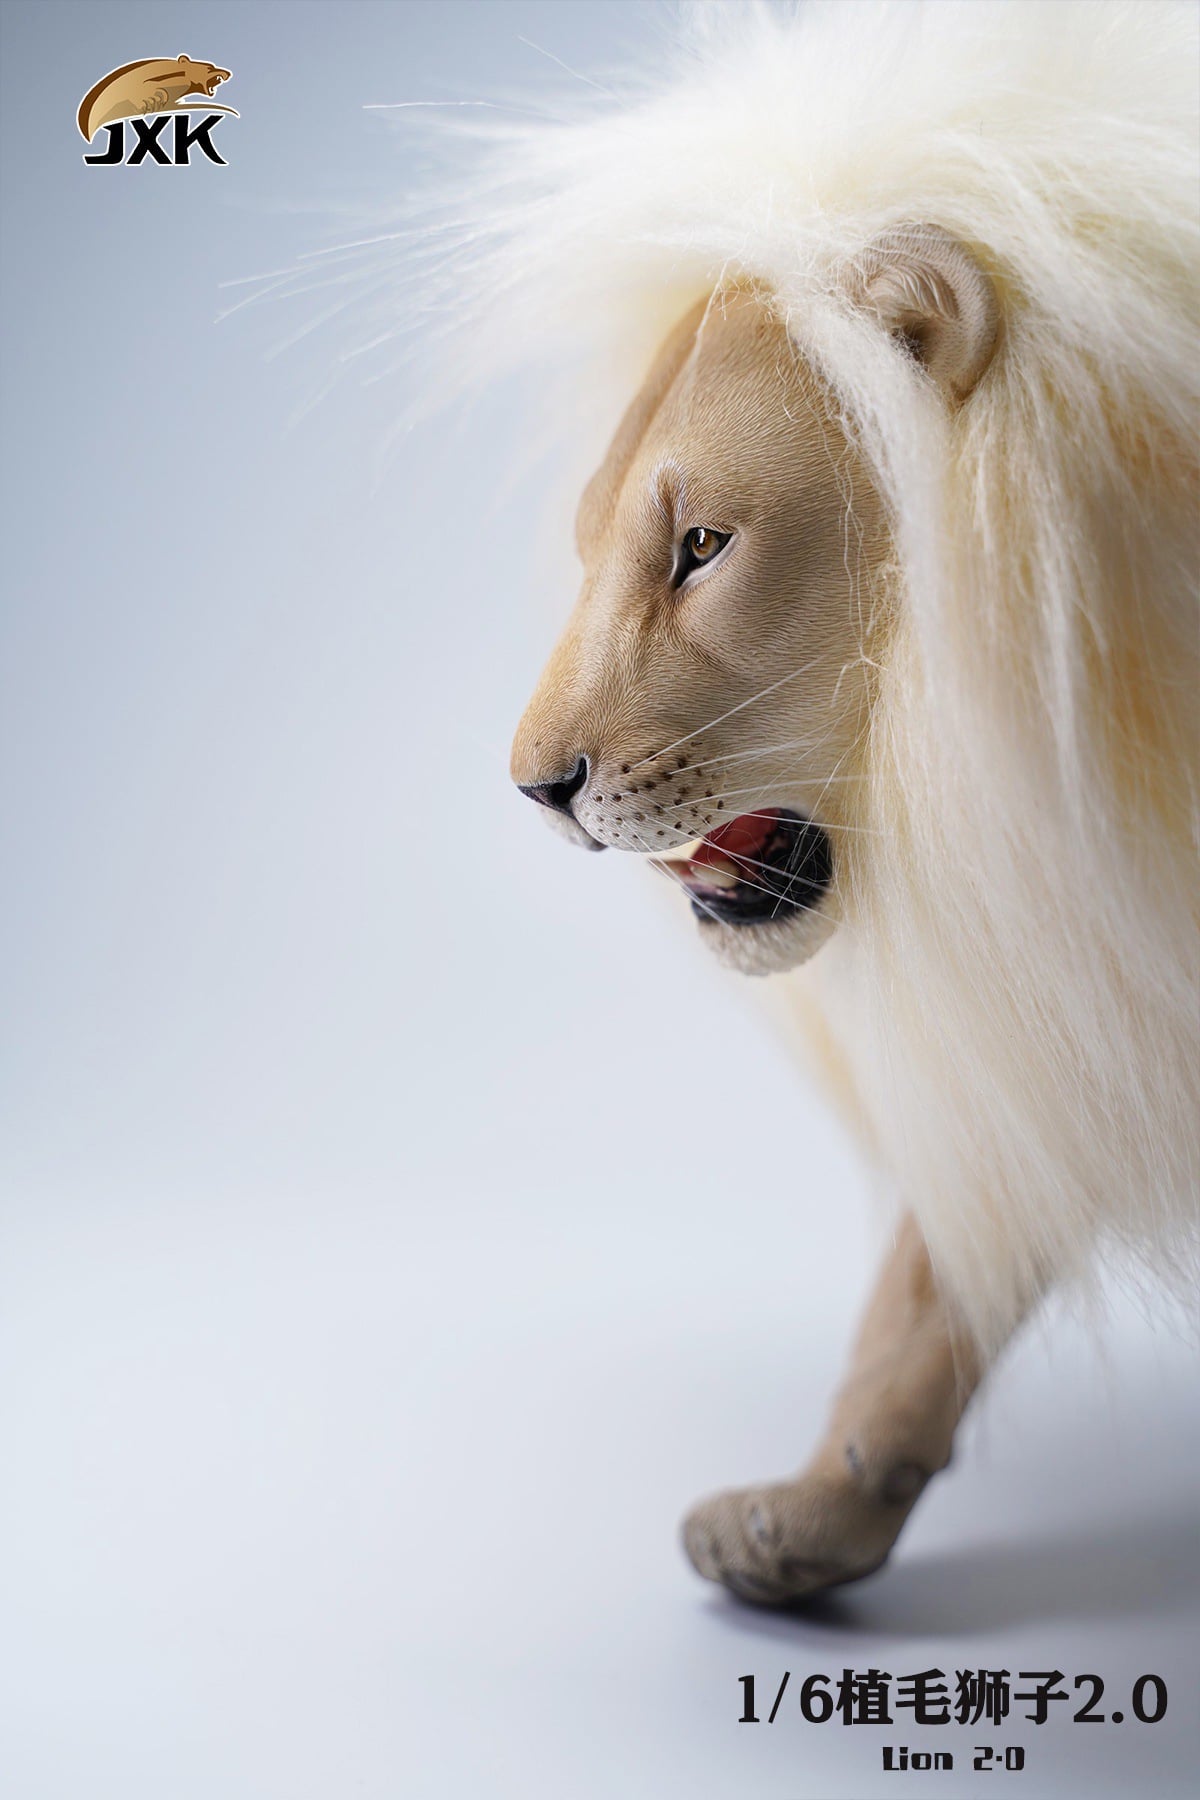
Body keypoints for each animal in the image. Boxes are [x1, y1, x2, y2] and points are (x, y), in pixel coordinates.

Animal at [353, 0, 1199, 1604]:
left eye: (700, 545)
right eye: (592, 546)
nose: (534, 789)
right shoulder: (1066, 949)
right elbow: (937, 1266)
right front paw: (812, 1514)